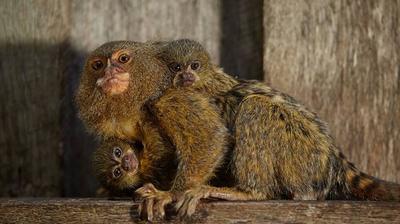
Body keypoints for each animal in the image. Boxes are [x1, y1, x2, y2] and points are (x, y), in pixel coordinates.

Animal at [137, 39, 400, 219]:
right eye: (175, 67)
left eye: (194, 65)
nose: (186, 76)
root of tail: (334, 159)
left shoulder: (173, 100)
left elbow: (210, 139)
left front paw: (171, 193)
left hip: (304, 156)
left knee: (256, 107)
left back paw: (247, 192)